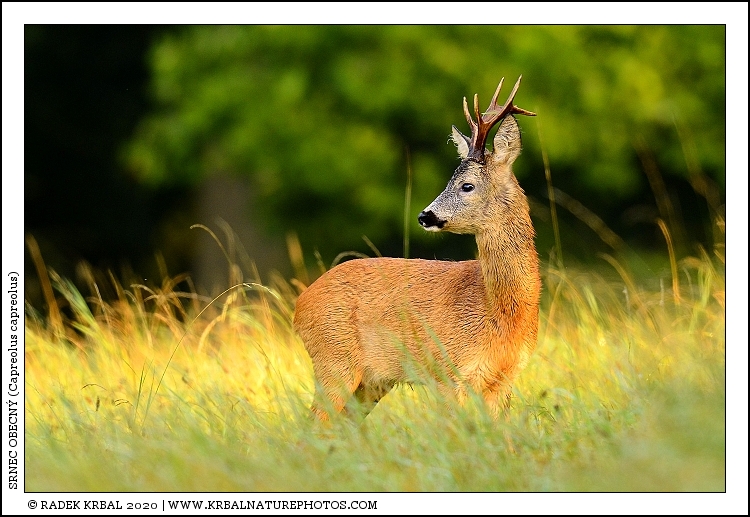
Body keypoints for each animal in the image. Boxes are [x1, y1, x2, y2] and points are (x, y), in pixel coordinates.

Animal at [293, 76, 540, 423]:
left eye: (466, 185)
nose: (425, 215)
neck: (499, 311)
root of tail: (299, 305)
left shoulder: (504, 379)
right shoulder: (448, 372)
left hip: (370, 382)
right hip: (334, 360)